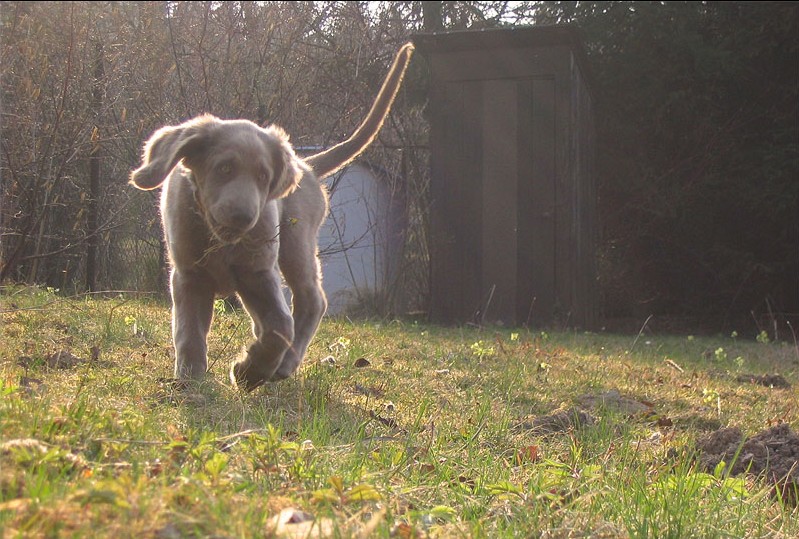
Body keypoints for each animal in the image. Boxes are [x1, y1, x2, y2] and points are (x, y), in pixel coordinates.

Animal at [130, 43, 414, 391]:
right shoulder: (189, 273)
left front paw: (250, 371)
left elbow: (281, 326)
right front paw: (191, 378)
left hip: (296, 245)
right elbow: (189, 332)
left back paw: (285, 364)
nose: (243, 217)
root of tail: (307, 165)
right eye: (224, 168)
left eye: (264, 177)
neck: (220, 240)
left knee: (311, 301)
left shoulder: (258, 272)